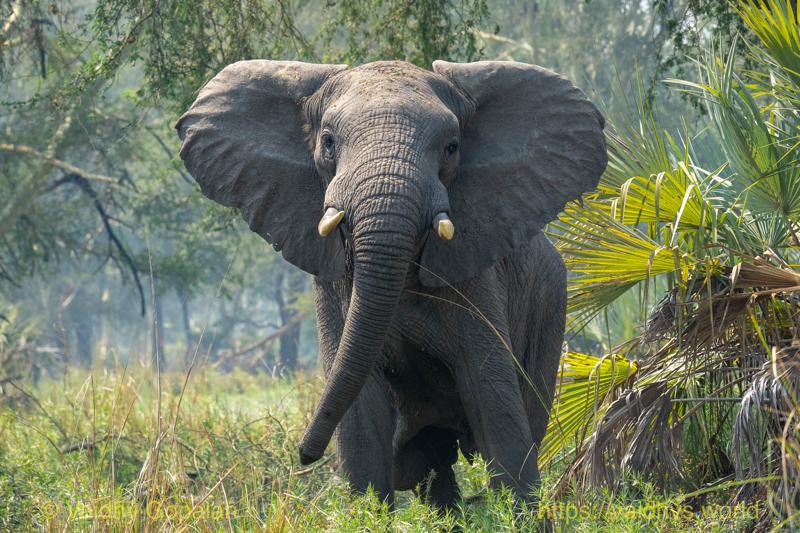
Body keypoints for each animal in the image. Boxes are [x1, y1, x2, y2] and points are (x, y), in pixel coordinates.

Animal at [176, 59, 606, 509]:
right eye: (328, 143)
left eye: (452, 147)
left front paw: (519, 512)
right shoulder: (334, 285)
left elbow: (493, 397)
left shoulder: (477, 277)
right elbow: (361, 411)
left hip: (549, 306)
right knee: (430, 462)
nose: (304, 454)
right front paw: (368, 510)